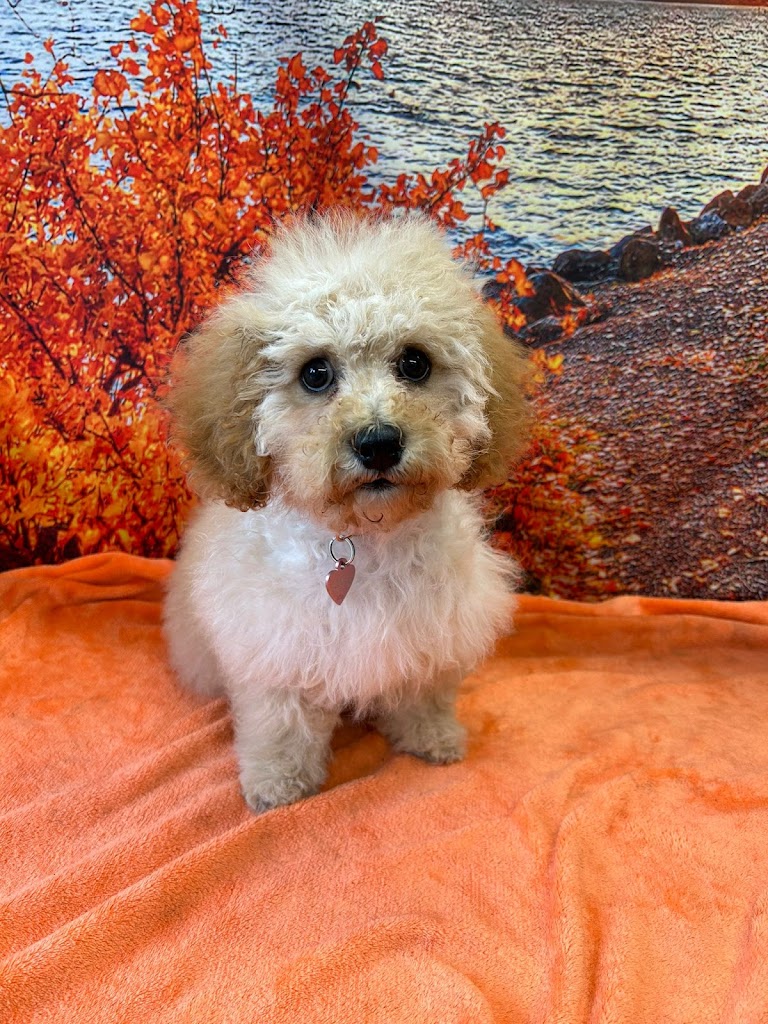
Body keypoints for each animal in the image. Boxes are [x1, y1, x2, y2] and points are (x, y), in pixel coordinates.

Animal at [164, 213, 530, 813]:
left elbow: (424, 689)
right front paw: (279, 783)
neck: (363, 535)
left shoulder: (432, 625)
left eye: (414, 362)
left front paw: (432, 738)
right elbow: (281, 721)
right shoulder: (276, 640)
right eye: (316, 373)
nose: (379, 443)